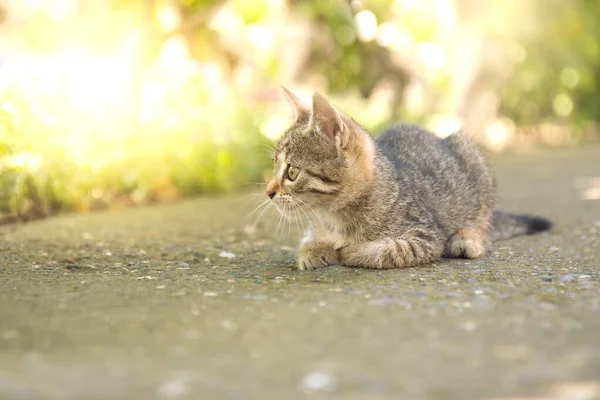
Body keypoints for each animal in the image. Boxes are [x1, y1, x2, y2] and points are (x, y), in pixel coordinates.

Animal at [268, 86, 552, 270]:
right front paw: (315, 251)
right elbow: (308, 243)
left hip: (471, 158)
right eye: (274, 166)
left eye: (291, 172)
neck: (334, 216)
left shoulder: (425, 236)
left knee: (483, 226)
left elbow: (388, 250)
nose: (269, 192)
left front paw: (352, 251)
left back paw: (466, 239)